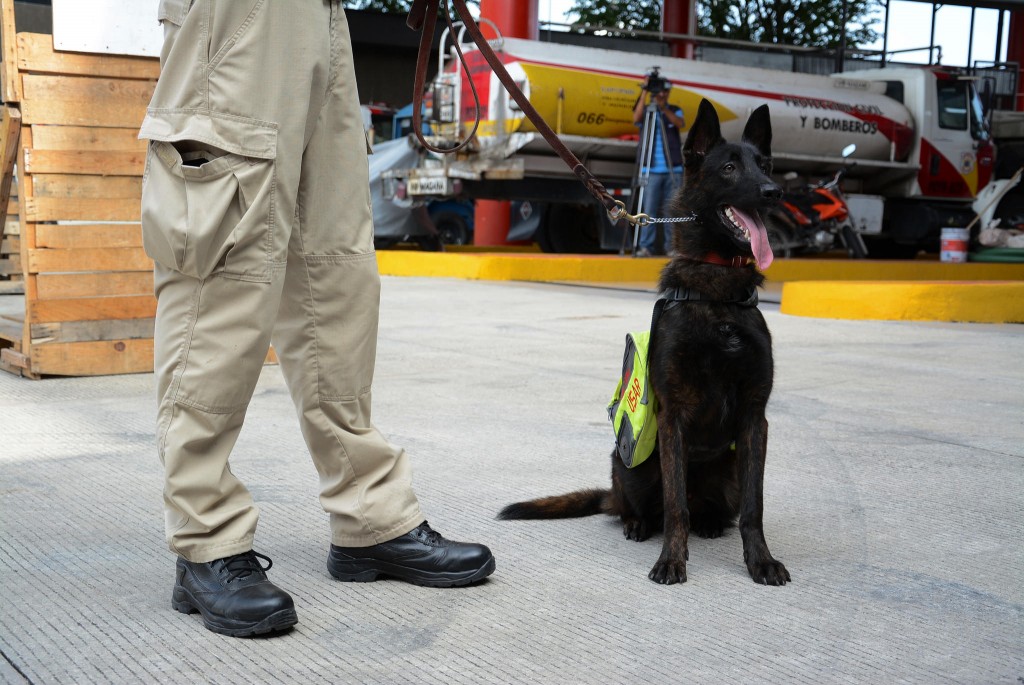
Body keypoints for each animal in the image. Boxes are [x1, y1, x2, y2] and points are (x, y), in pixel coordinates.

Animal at [499, 98, 786, 585]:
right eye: (729, 167)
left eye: (764, 165)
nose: (773, 191)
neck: (718, 295)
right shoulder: (674, 418)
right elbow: (675, 506)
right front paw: (671, 559)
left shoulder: (754, 419)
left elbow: (755, 507)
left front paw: (760, 561)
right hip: (629, 466)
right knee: (633, 506)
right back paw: (636, 523)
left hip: (727, 472)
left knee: (715, 509)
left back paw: (711, 523)